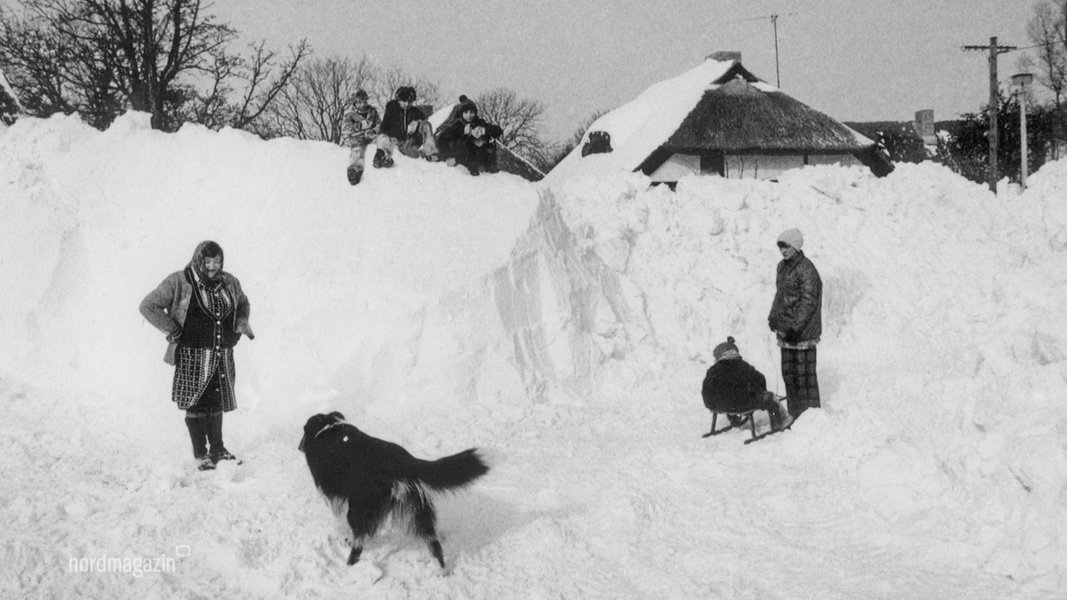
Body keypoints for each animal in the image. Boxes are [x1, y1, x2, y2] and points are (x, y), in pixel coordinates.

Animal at [296, 409, 488, 563]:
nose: (299, 447)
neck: (326, 427)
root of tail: (406, 463)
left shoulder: (333, 492)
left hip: (361, 508)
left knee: (358, 543)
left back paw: (350, 562)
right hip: (416, 508)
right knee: (433, 542)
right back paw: (443, 570)